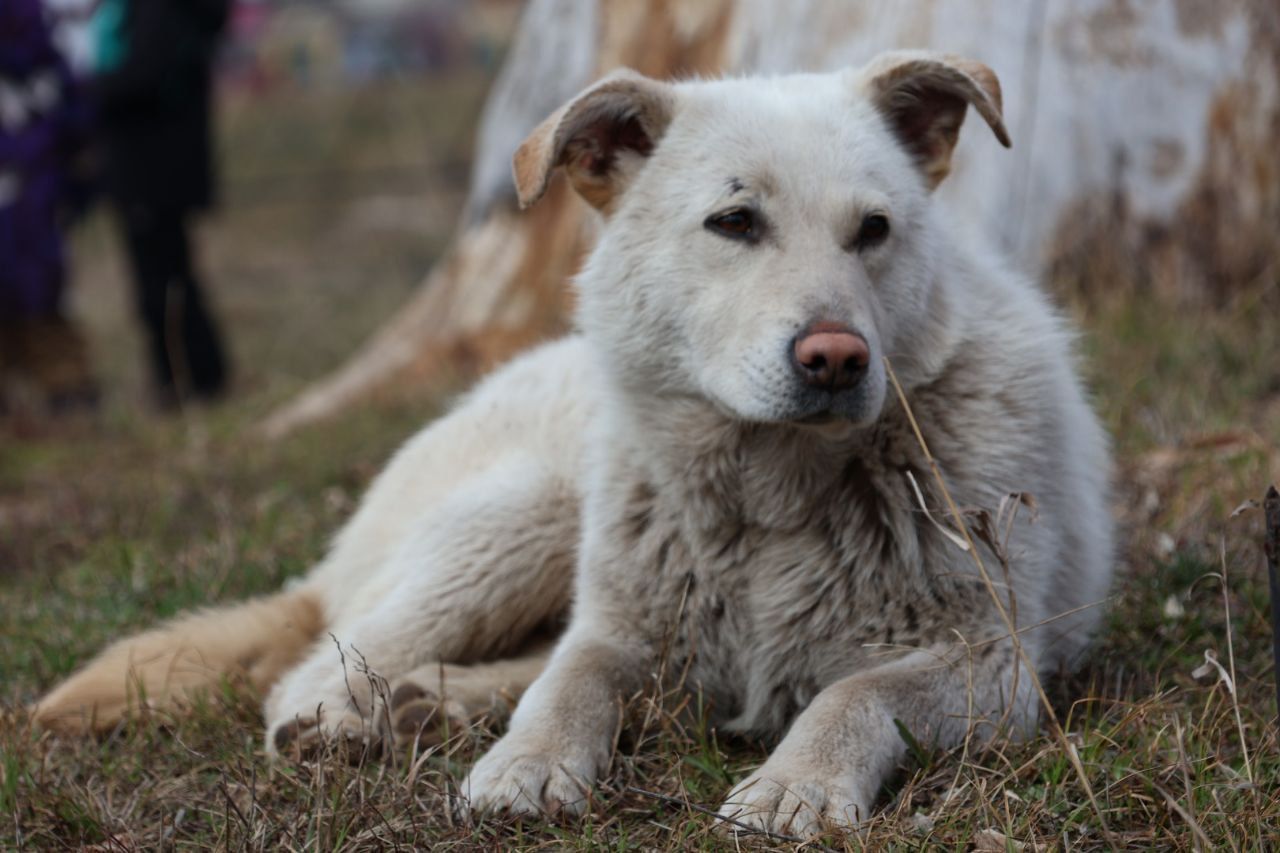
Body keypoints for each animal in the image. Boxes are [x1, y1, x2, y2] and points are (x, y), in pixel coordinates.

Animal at [32, 49, 1111, 835]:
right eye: (733, 221)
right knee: (308, 670)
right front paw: (528, 763)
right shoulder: (620, 627)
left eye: (874, 230)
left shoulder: (992, 666)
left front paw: (795, 783)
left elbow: (850, 693)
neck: (772, 497)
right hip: (528, 514)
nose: (838, 358)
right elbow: (570, 684)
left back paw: (428, 705)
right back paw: (358, 717)